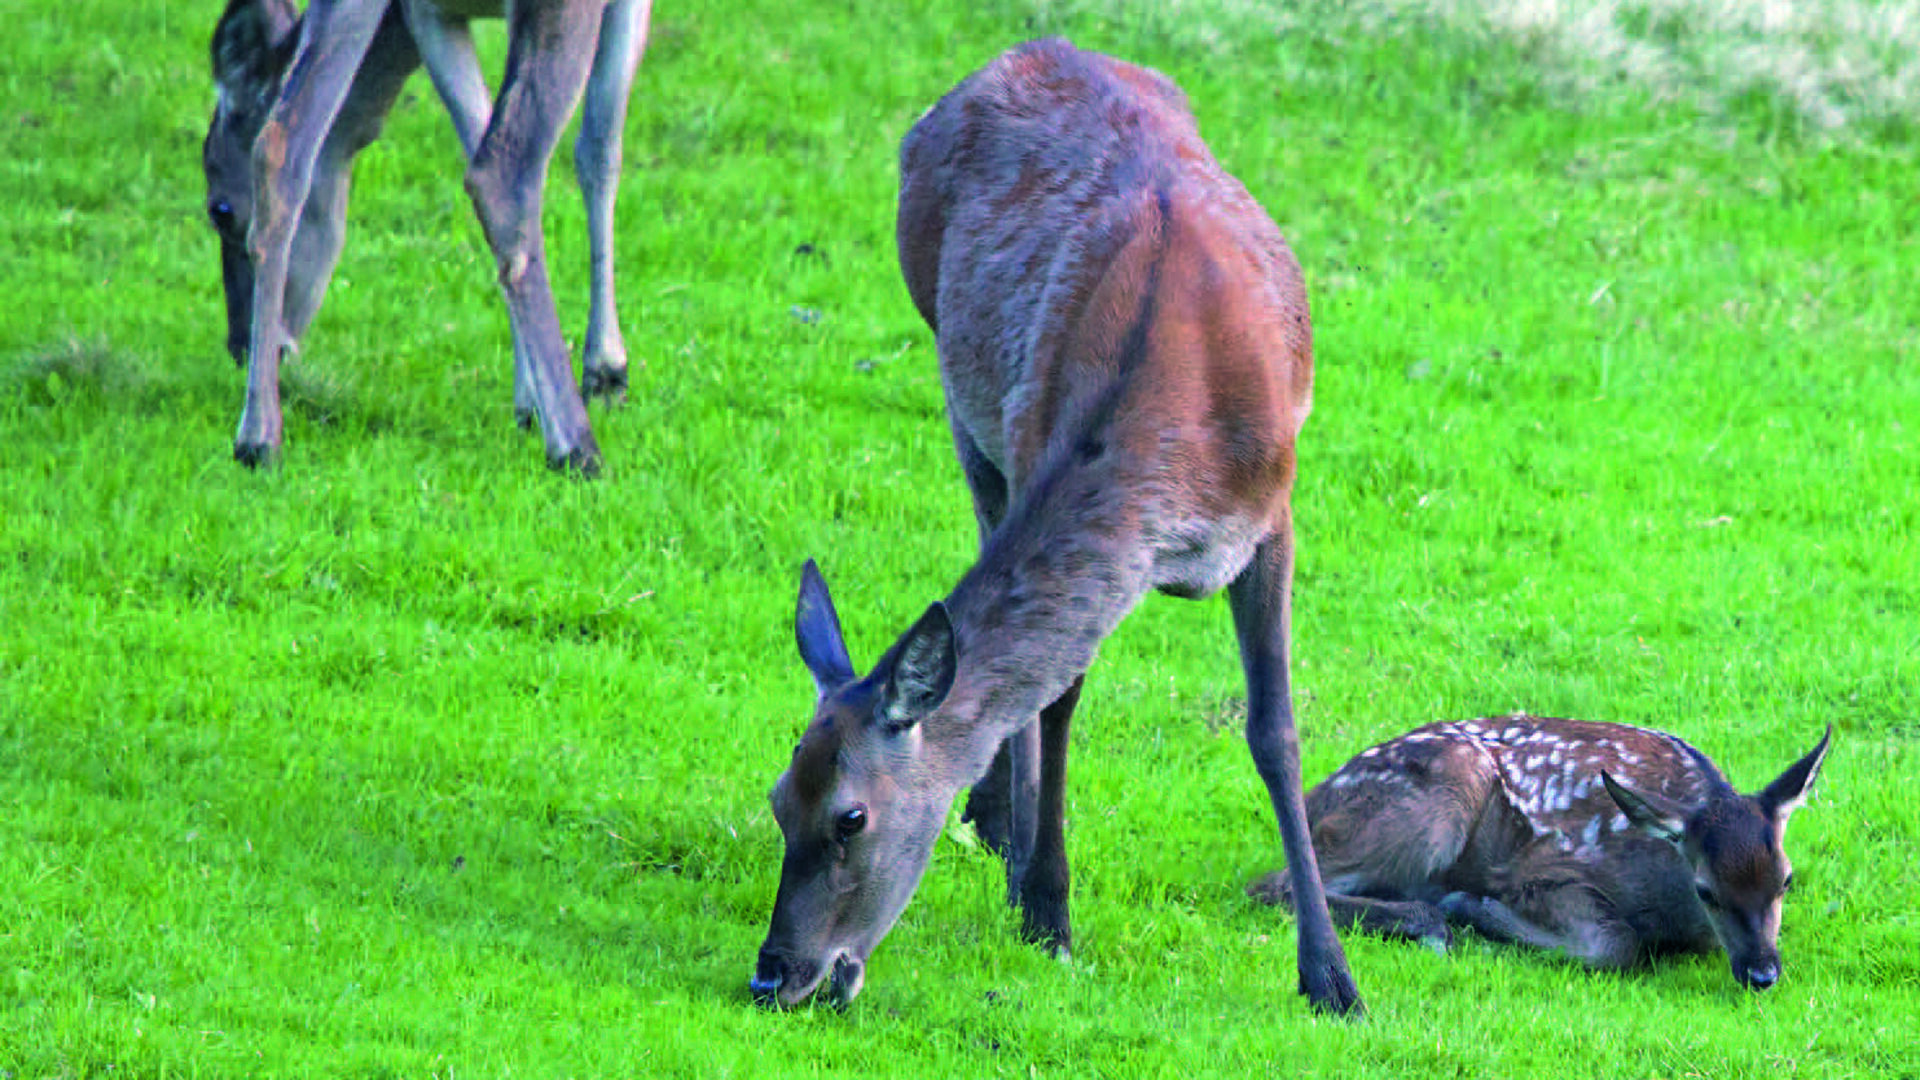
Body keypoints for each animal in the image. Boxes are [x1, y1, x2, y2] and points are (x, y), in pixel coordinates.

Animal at [203, 0, 652, 470]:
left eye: (220, 211)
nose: (239, 345)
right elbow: (601, 149)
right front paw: (606, 372)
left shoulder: (431, 16)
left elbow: (497, 136)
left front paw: (529, 401)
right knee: (508, 169)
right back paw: (577, 446)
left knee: (280, 143)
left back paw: (257, 437)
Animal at [748, 37, 1367, 1014]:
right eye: (778, 799)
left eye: (850, 817)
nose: (775, 973)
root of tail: (1026, 50)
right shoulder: (1033, 435)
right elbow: (1059, 699)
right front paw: (1046, 907)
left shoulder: (1274, 515)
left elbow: (1275, 731)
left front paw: (1331, 976)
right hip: (962, 395)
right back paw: (1001, 825)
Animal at [1244, 711, 1827, 991]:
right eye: (1706, 890)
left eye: (1786, 879)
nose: (1762, 973)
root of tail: (1316, 798)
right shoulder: (1543, 870)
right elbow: (1617, 944)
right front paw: (1473, 907)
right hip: (1443, 796)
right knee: (1270, 884)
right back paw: (1432, 919)